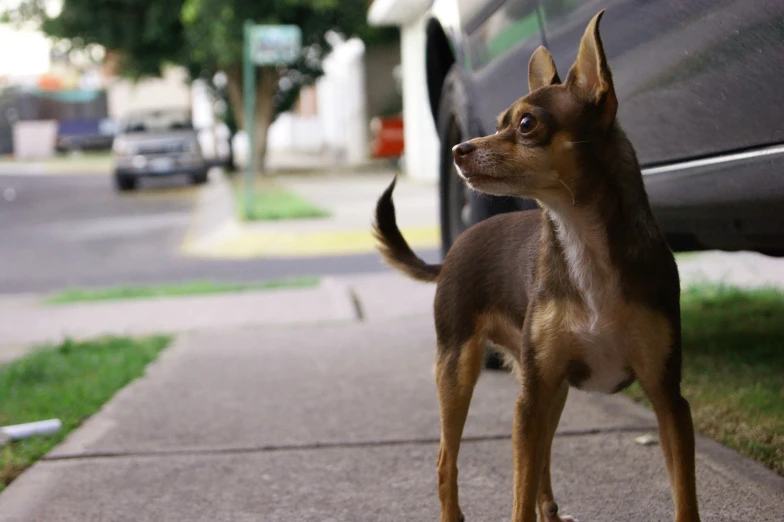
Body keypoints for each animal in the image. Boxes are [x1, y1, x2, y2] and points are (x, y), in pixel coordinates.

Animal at [370, 10, 700, 520]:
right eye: (499, 122)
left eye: (526, 124)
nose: (457, 150)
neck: (581, 240)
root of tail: (452, 252)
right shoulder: (531, 400)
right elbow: (518, 496)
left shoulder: (667, 400)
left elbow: (685, 497)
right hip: (460, 370)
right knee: (447, 460)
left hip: (549, 388)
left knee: (541, 457)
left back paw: (551, 509)